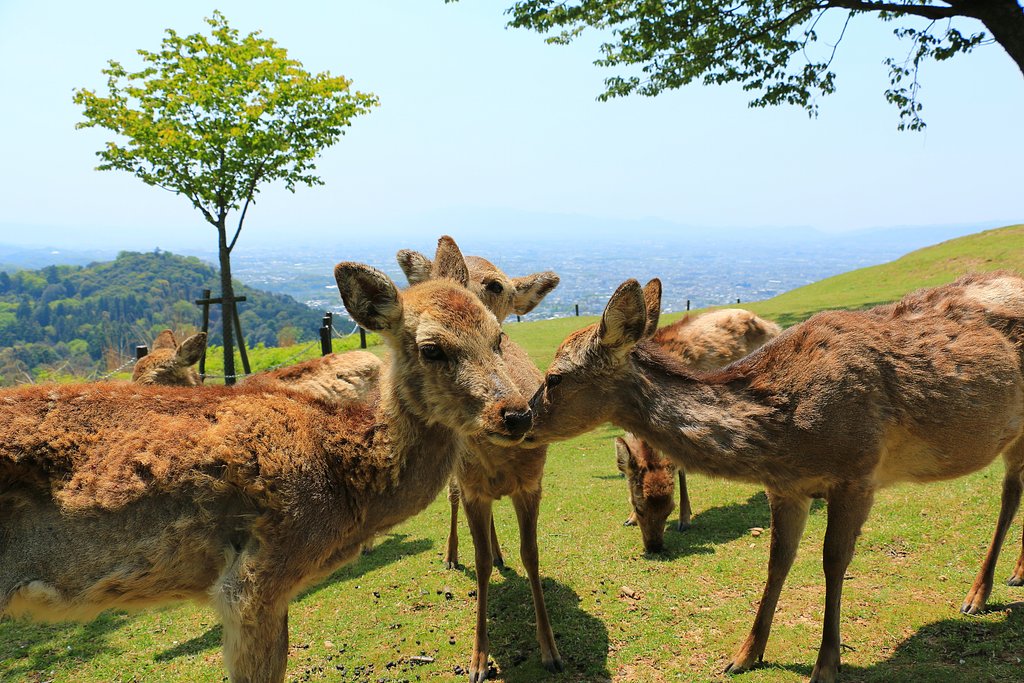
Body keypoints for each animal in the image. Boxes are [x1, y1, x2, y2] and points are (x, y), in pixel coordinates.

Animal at [396, 247, 562, 682]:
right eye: (426, 280)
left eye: (496, 285)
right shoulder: (472, 488)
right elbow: (481, 562)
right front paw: (478, 661)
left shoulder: (533, 482)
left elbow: (531, 554)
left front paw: (551, 650)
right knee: (454, 504)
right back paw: (452, 554)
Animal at [618, 309, 781, 552]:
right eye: (638, 507)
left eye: (669, 509)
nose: (655, 547)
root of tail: (771, 324)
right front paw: (628, 519)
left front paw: (685, 519)